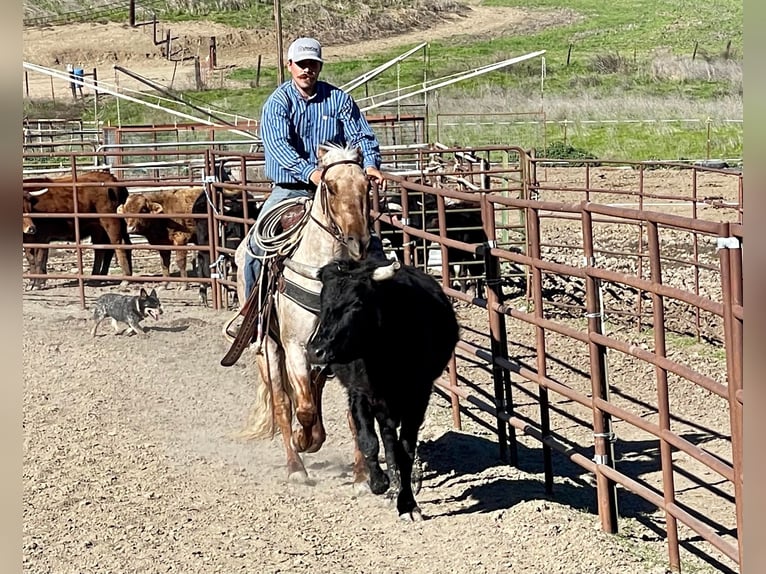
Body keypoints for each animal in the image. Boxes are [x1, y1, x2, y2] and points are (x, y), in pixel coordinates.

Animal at [231, 143, 372, 482]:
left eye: (367, 185)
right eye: (330, 187)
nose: (358, 242)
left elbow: (350, 412)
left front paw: (362, 474)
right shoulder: (295, 346)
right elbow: (303, 407)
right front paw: (302, 440)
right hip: (267, 347)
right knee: (284, 402)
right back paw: (296, 465)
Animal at [308, 258, 462, 524]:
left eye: (356, 303)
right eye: (322, 302)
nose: (316, 351)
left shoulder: (418, 396)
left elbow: (406, 449)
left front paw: (408, 503)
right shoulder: (360, 392)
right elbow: (369, 442)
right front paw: (379, 483)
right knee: (386, 439)